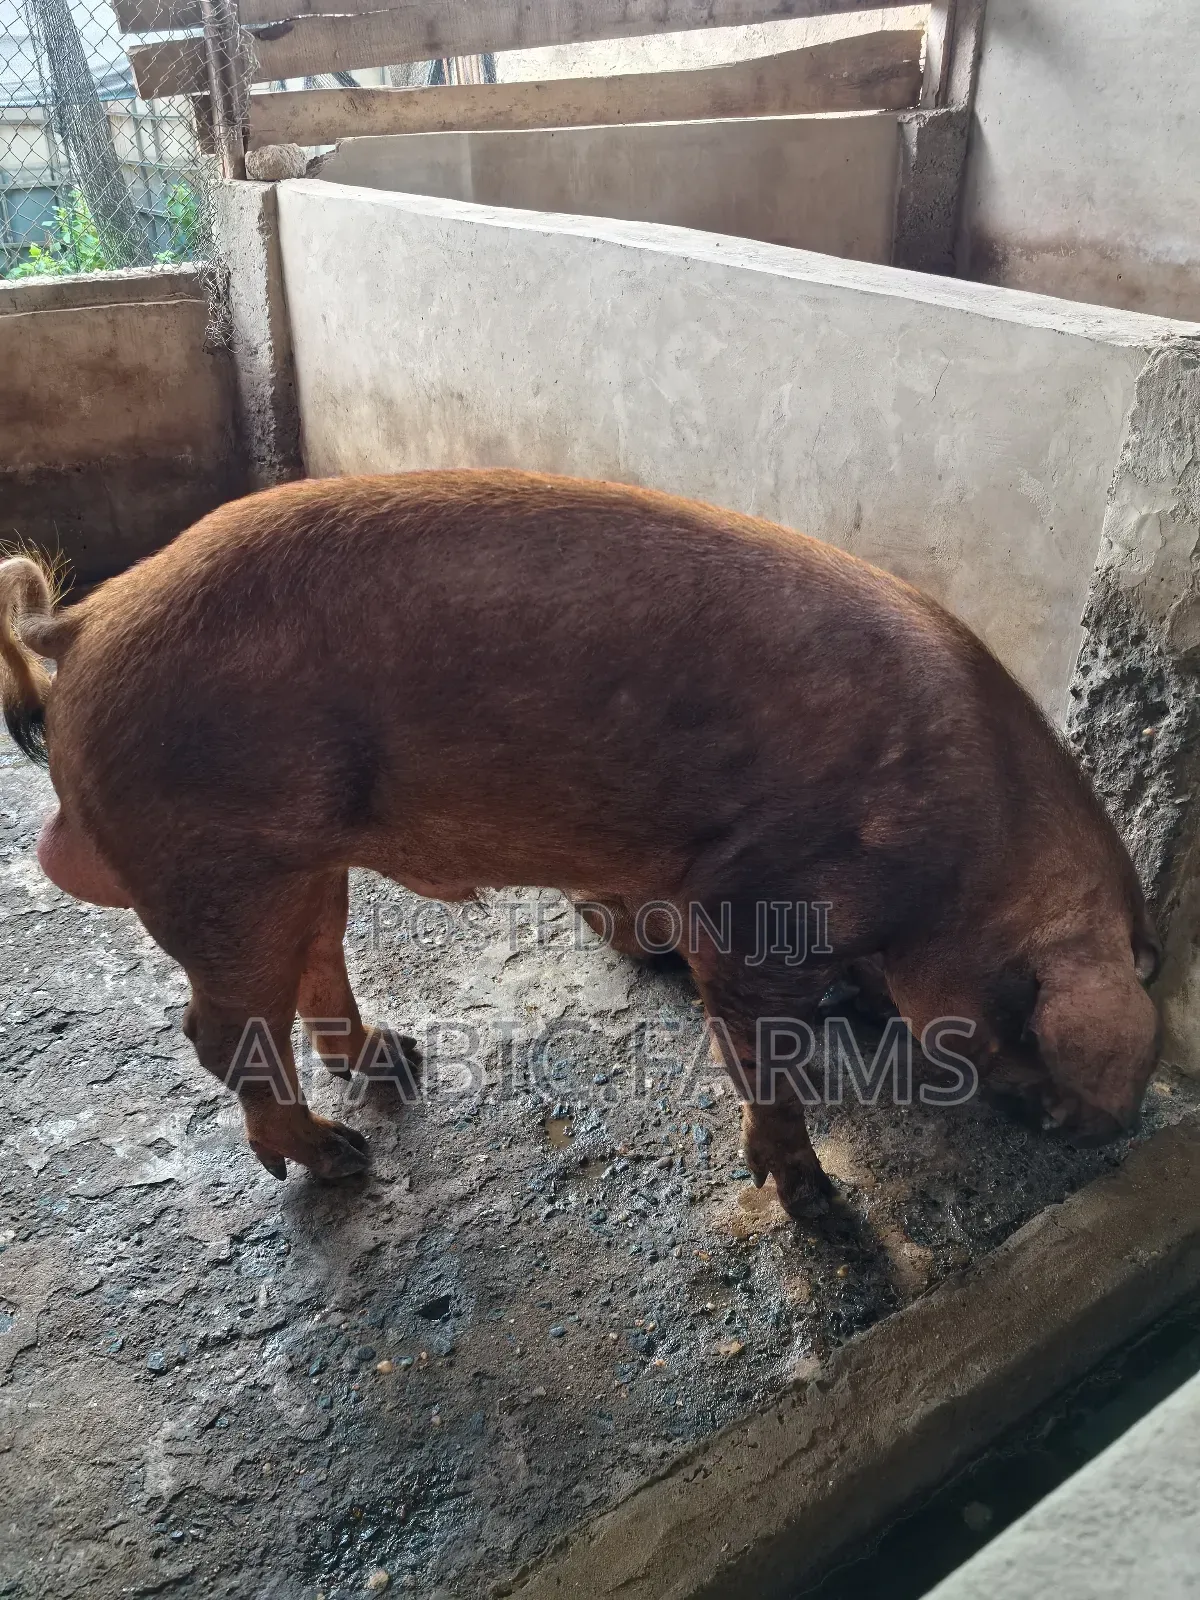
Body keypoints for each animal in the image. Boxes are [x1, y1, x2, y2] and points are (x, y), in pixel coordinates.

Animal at [0, 471, 1161, 1218]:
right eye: (1029, 1026)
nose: (1102, 1131)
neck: (968, 859)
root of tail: (85, 622)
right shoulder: (755, 901)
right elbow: (761, 1049)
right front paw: (822, 1207)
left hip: (296, 861)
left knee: (314, 964)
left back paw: (393, 1062)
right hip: (220, 861)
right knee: (218, 1027)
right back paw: (341, 1160)